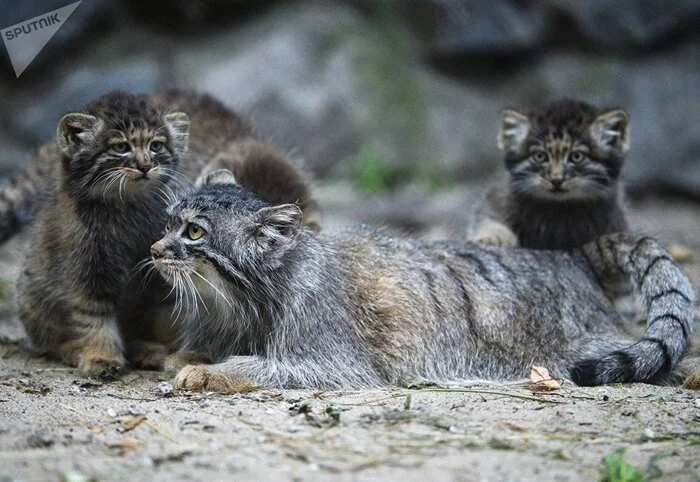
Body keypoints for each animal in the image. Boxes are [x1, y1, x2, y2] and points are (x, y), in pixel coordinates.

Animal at [150, 170, 692, 392]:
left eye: (193, 232)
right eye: (167, 223)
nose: (153, 250)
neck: (239, 301)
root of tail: (574, 256)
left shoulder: (337, 364)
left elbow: (263, 366)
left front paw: (212, 371)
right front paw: (190, 358)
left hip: (581, 350)